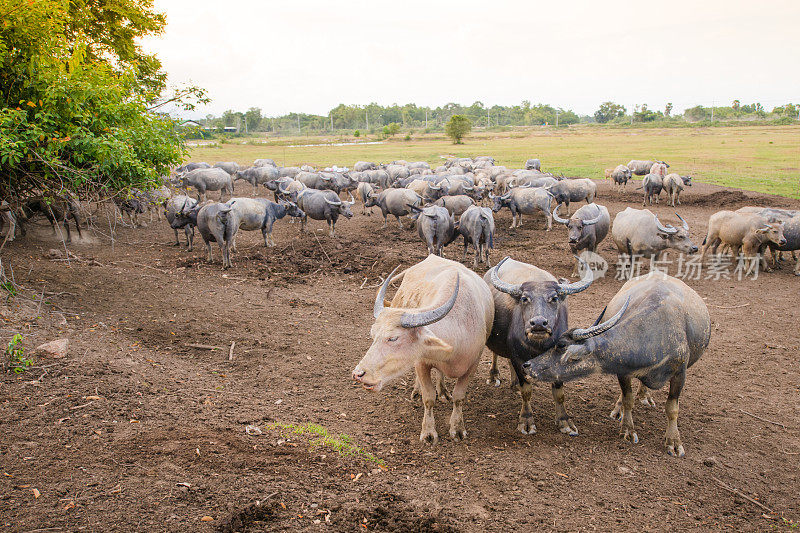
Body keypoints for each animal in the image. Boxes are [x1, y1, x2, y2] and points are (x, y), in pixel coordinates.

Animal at [352, 256, 494, 442]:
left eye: (393, 338)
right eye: (373, 334)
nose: (358, 374)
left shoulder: (473, 365)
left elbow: (459, 397)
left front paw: (457, 428)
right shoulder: (421, 363)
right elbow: (429, 398)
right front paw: (428, 432)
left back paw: (443, 391)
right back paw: (417, 391)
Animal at [482, 256, 592, 434]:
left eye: (554, 298)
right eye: (524, 298)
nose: (539, 323)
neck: (538, 346)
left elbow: (559, 392)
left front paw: (564, 421)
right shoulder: (518, 358)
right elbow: (526, 391)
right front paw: (526, 421)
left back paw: (513, 383)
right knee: (496, 354)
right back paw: (494, 376)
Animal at [528, 272, 708, 456]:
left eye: (561, 345)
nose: (528, 365)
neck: (655, 335)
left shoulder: (680, 374)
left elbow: (672, 408)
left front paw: (674, 442)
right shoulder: (622, 370)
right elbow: (628, 399)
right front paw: (628, 429)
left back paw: (644, 396)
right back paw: (618, 410)